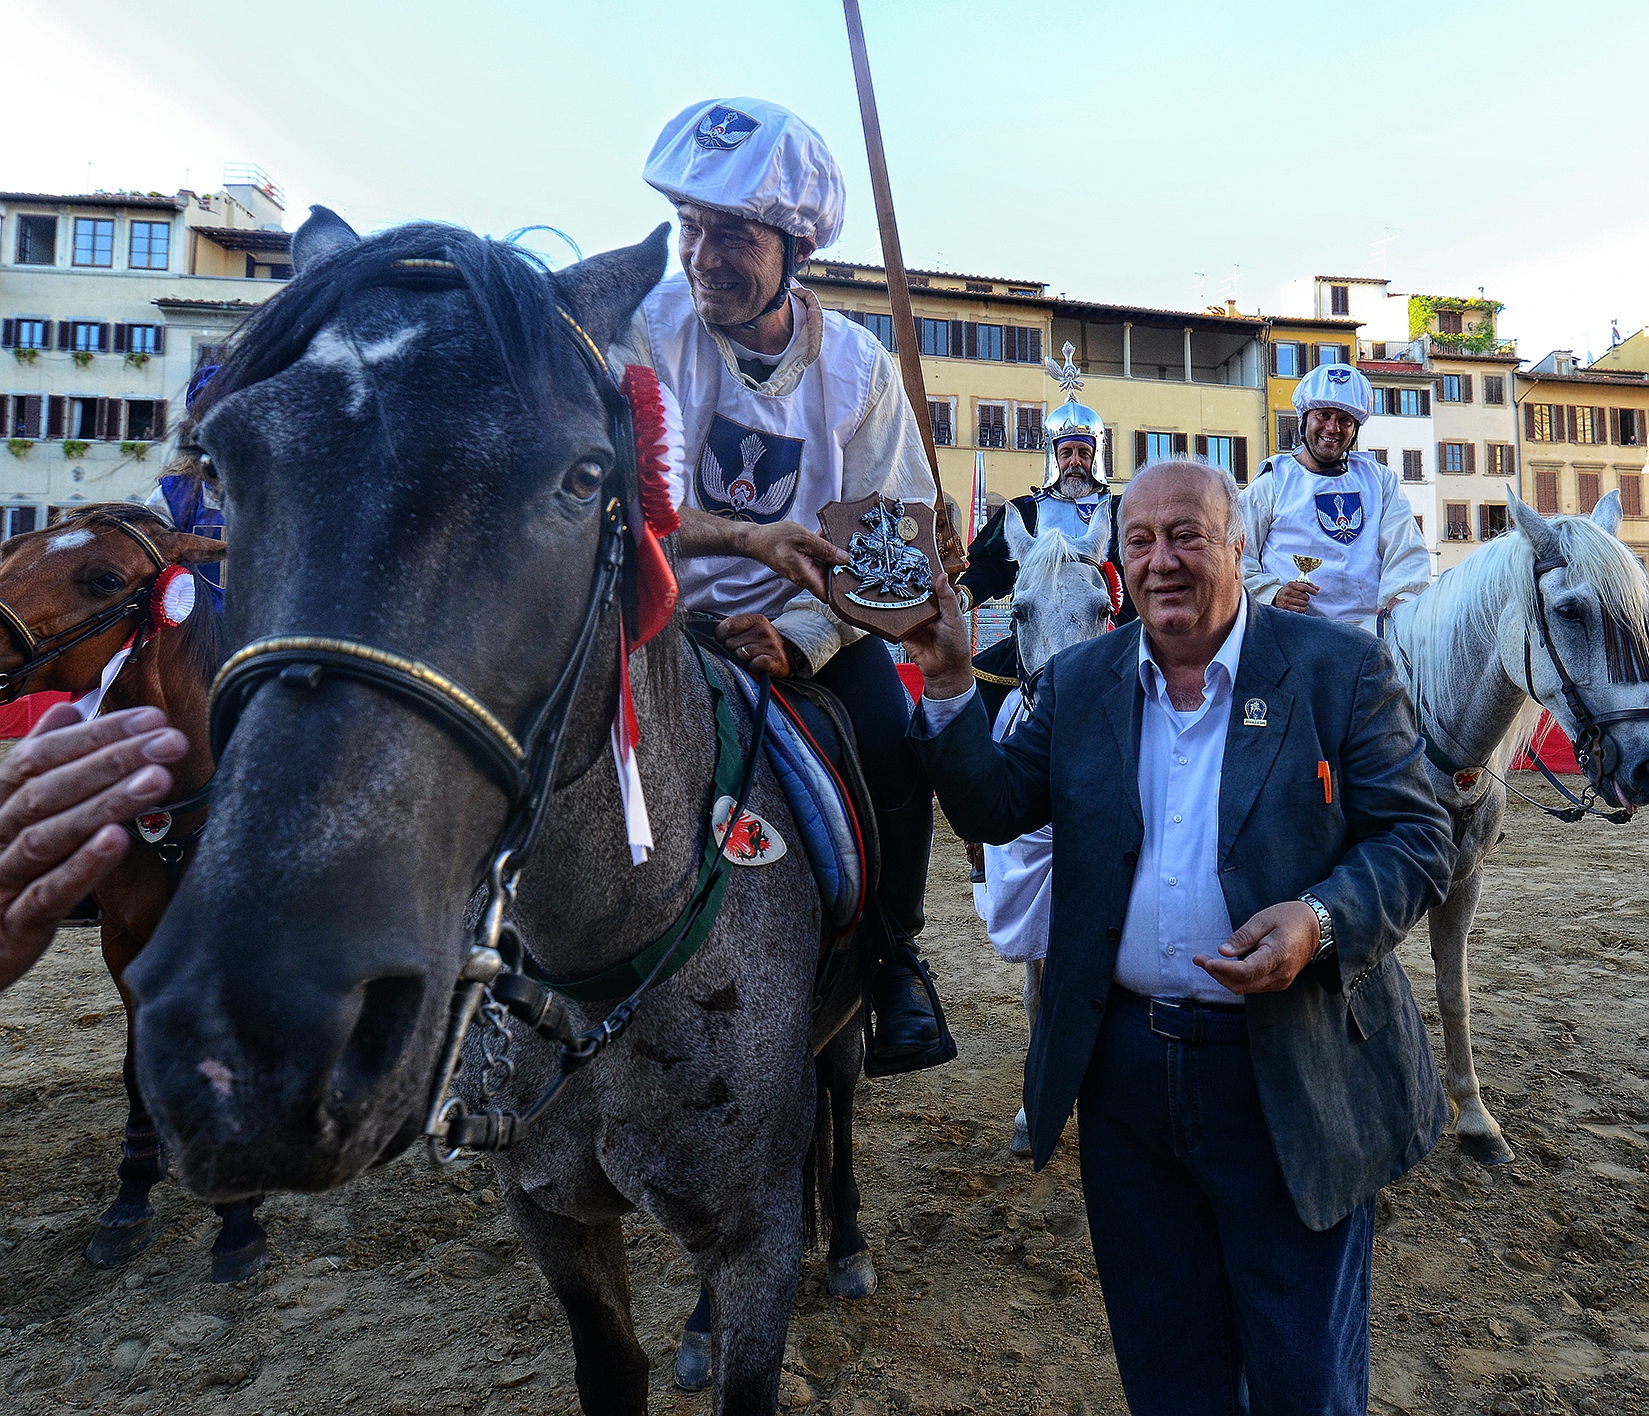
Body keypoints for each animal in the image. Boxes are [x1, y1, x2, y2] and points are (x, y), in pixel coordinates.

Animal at [0, 507, 265, 1285]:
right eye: (10, 551)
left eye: (103, 578)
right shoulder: (124, 941)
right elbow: (132, 1067)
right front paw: (131, 1194)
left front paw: (239, 1215)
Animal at [125, 212, 877, 1416]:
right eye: (226, 464)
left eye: (583, 476)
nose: (254, 1033)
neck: (601, 971)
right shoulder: (551, 1210)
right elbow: (611, 1363)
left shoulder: (755, 1240)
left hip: (843, 1042)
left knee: (842, 1105)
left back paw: (845, 1243)